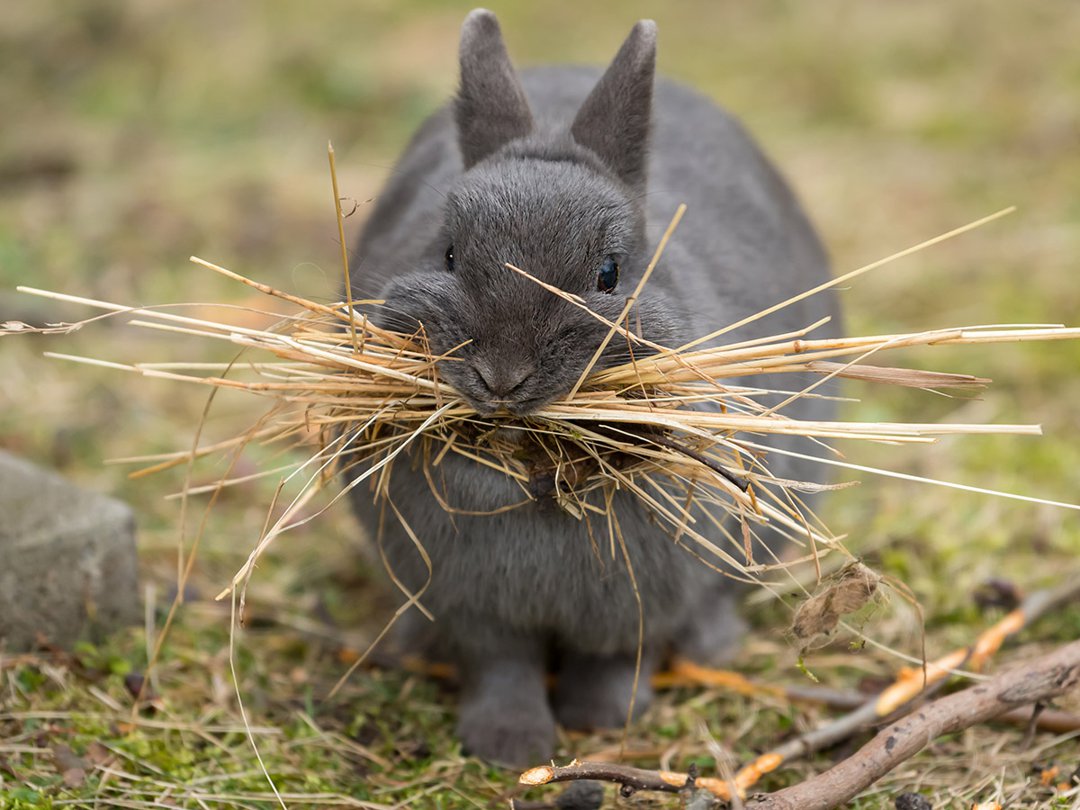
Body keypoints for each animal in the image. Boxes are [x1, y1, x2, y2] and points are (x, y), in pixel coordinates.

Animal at [349, 7, 838, 768]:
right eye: (448, 254)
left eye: (609, 273)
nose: (502, 377)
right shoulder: (477, 609)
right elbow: (502, 666)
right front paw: (509, 746)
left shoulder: (637, 599)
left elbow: (612, 657)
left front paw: (599, 723)